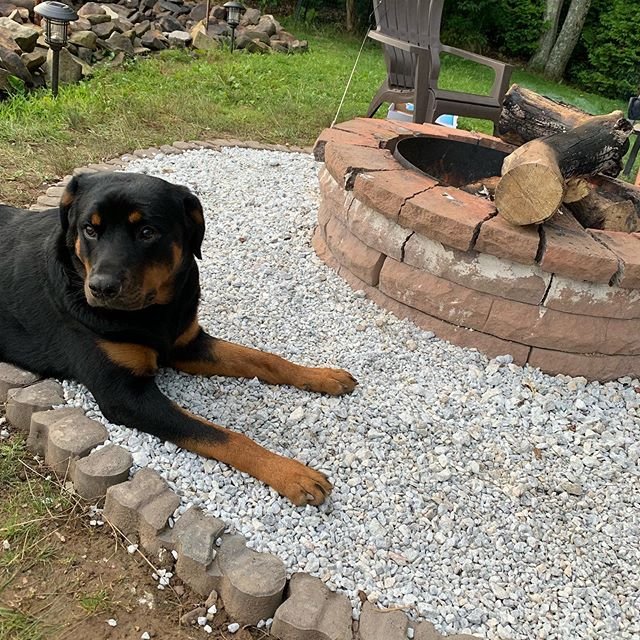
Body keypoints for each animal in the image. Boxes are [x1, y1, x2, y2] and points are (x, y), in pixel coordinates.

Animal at [0, 171, 356, 504]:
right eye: (89, 229)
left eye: (147, 232)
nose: (101, 287)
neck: (154, 313)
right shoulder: (126, 396)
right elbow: (220, 435)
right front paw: (292, 473)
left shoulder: (187, 344)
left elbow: (264, 359)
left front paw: (323, 376)